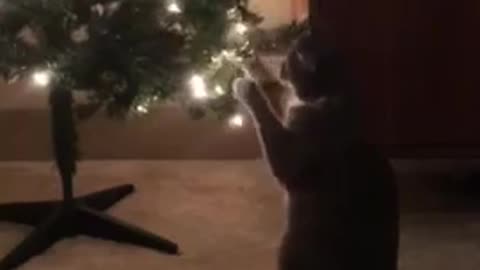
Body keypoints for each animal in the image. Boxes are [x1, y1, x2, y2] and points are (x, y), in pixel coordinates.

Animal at [234, 31, 400, 270]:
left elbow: (266, 114)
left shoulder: (289, 156)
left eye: (288, 62)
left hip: (289, 247)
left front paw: (245, 86)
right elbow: (275, 97)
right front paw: (252, 64)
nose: (282, 68)